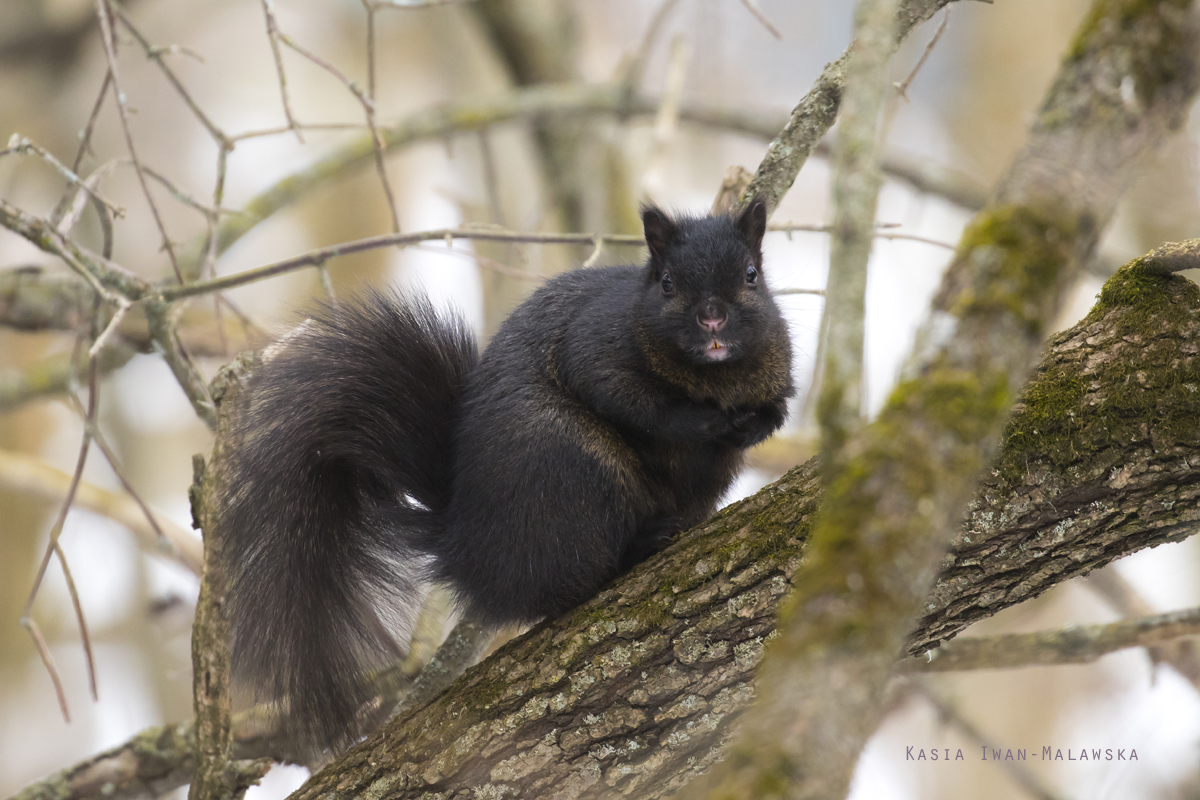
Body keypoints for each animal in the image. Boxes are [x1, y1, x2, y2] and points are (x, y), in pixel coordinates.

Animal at [220, 196, 792, 753]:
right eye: (668, 282)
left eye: (751, 274)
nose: (713, 319)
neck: (712, 375)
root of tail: (465, 543)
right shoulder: (596, 344)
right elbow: (628, 399)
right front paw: (704, 420)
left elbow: (776, 410)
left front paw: (752, 424)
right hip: (571, 469)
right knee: (570, 582)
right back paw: (642, 542)